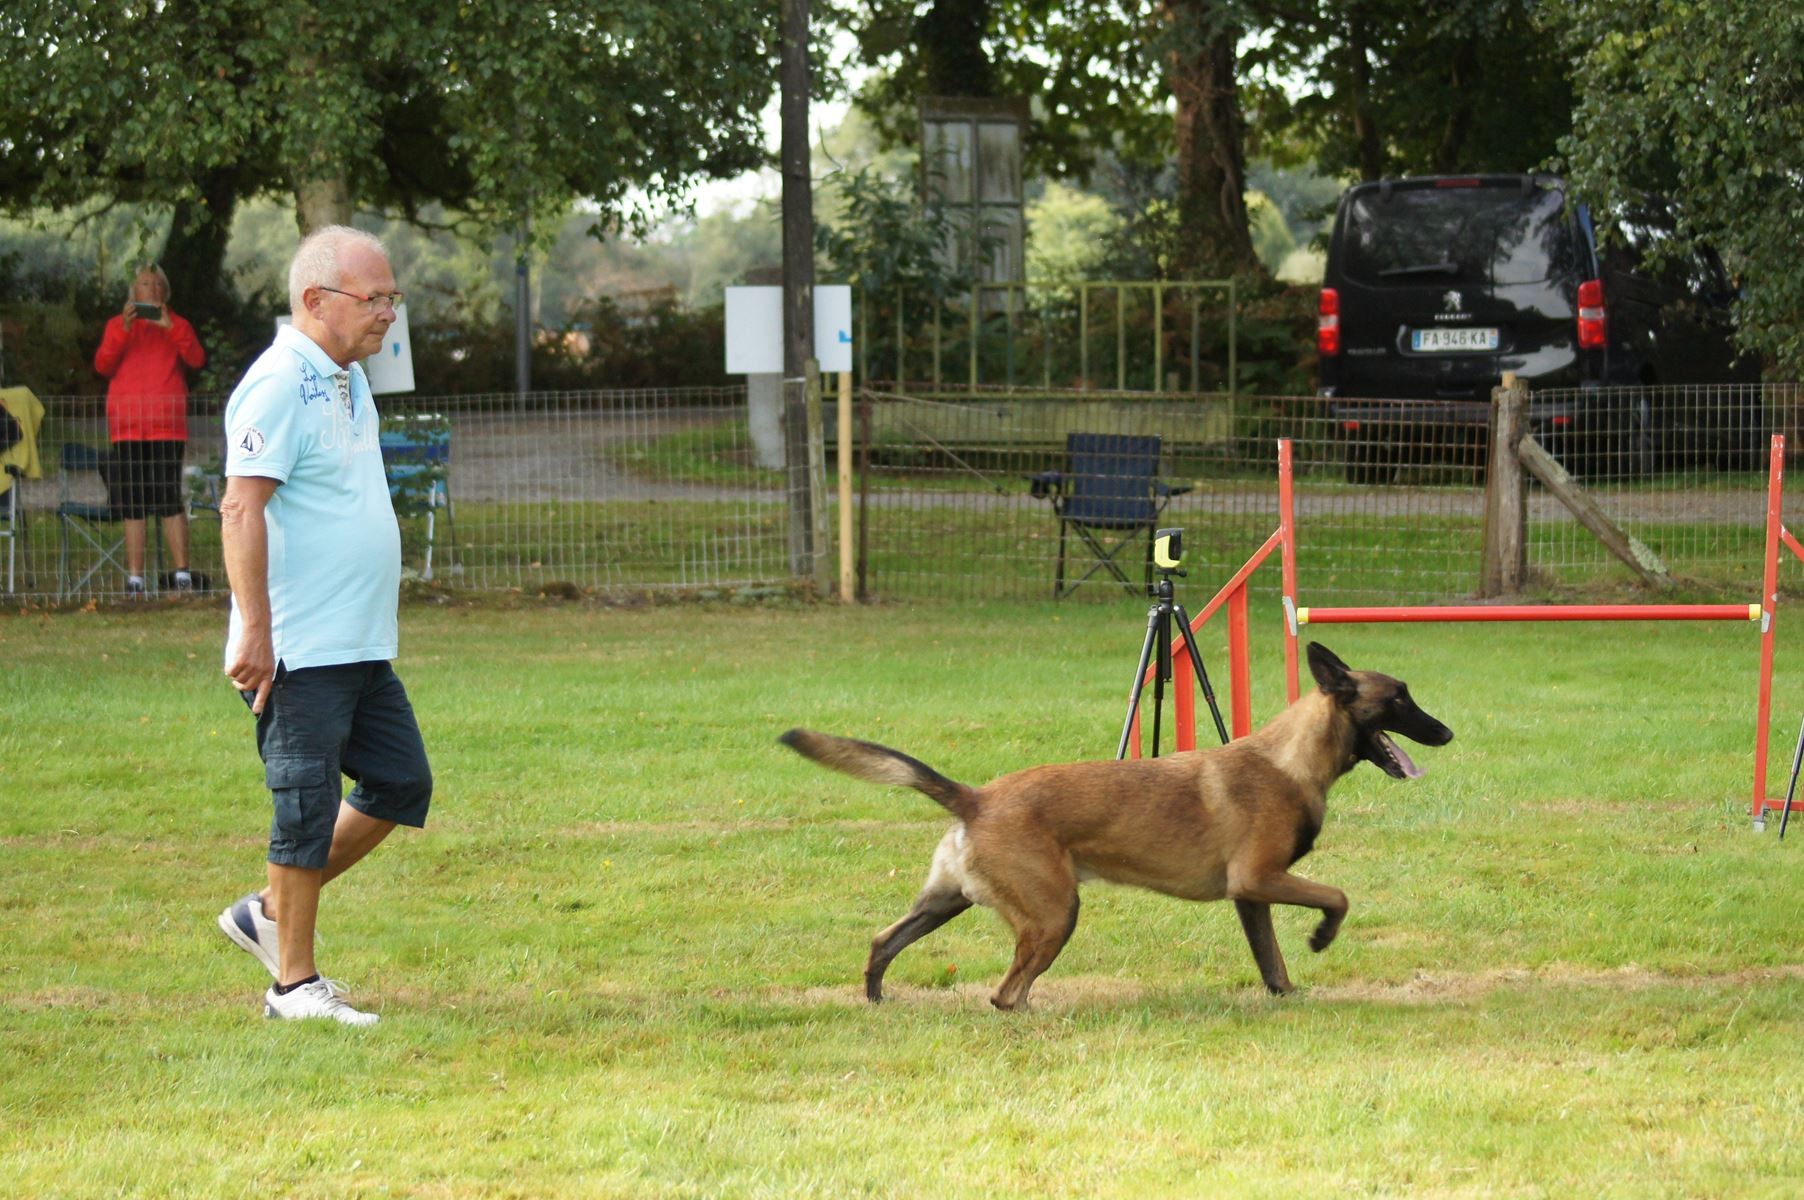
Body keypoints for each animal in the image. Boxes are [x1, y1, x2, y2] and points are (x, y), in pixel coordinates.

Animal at [779, 642, 1450, 1003]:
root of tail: (976, 798)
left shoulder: (1251, 896)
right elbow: (1337, 896)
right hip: (1053, 915)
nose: (1446, 732)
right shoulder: (1260, 879)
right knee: (1006, 994)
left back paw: (875, 999)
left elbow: (1271, 961)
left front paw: (1286, 994)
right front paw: (1321, 938)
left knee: (883, 941)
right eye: (1399, 699)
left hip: (948, 901)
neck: (1291, 760)